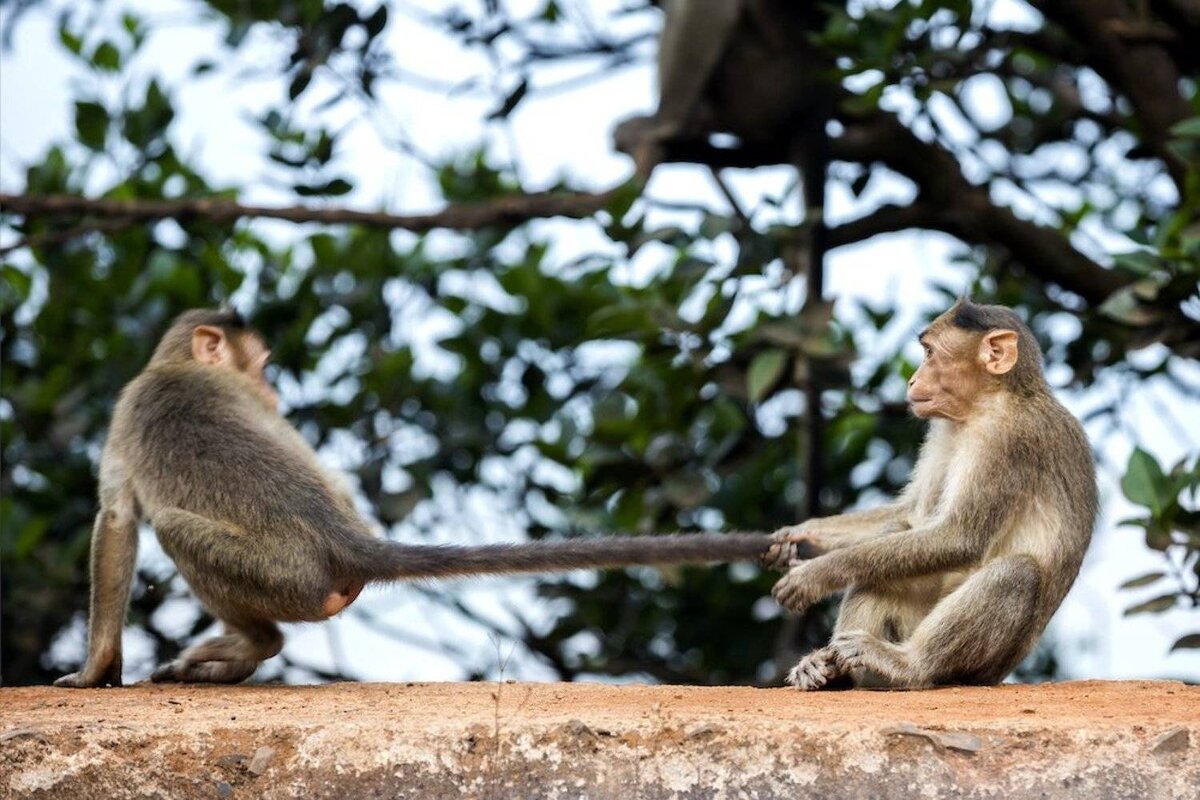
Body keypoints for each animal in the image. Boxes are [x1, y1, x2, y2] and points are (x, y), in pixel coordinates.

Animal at [54, 309, 777, 690]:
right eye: (261, 368)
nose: (274, 390)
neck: (175, 366)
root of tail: (347, 543)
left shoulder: (127, 407)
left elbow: (117, 521)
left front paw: (94, 671)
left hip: (289, 579)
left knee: (176, 529)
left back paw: (252, 645)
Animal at [768, 299, 1099, 690]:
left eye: (929, 353)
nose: (912, 379)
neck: (993, 400)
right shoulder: (945, 429)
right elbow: (910, 513)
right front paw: (801, 535)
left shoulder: (1005, 441)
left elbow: (959, 538)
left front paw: (817, 573)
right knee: (892, 544)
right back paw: (834, 671)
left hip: (981, 666)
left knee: (1017, 573)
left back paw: (909, 665)